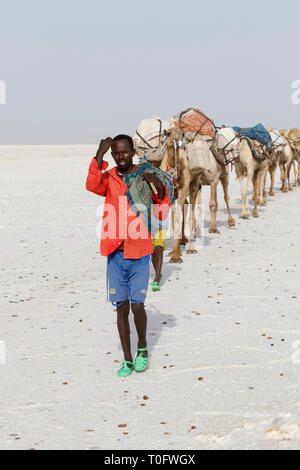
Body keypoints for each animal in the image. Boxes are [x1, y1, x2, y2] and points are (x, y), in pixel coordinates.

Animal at [161, 126, 236, 262]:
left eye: (182, 133)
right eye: (168, 133)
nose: (178, 140)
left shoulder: (202, 182)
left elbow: (210, 205)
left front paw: (176, 255)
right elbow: (174, 218)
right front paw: (174, 252)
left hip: (214, 180)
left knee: (224, 197)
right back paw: (184, 240)